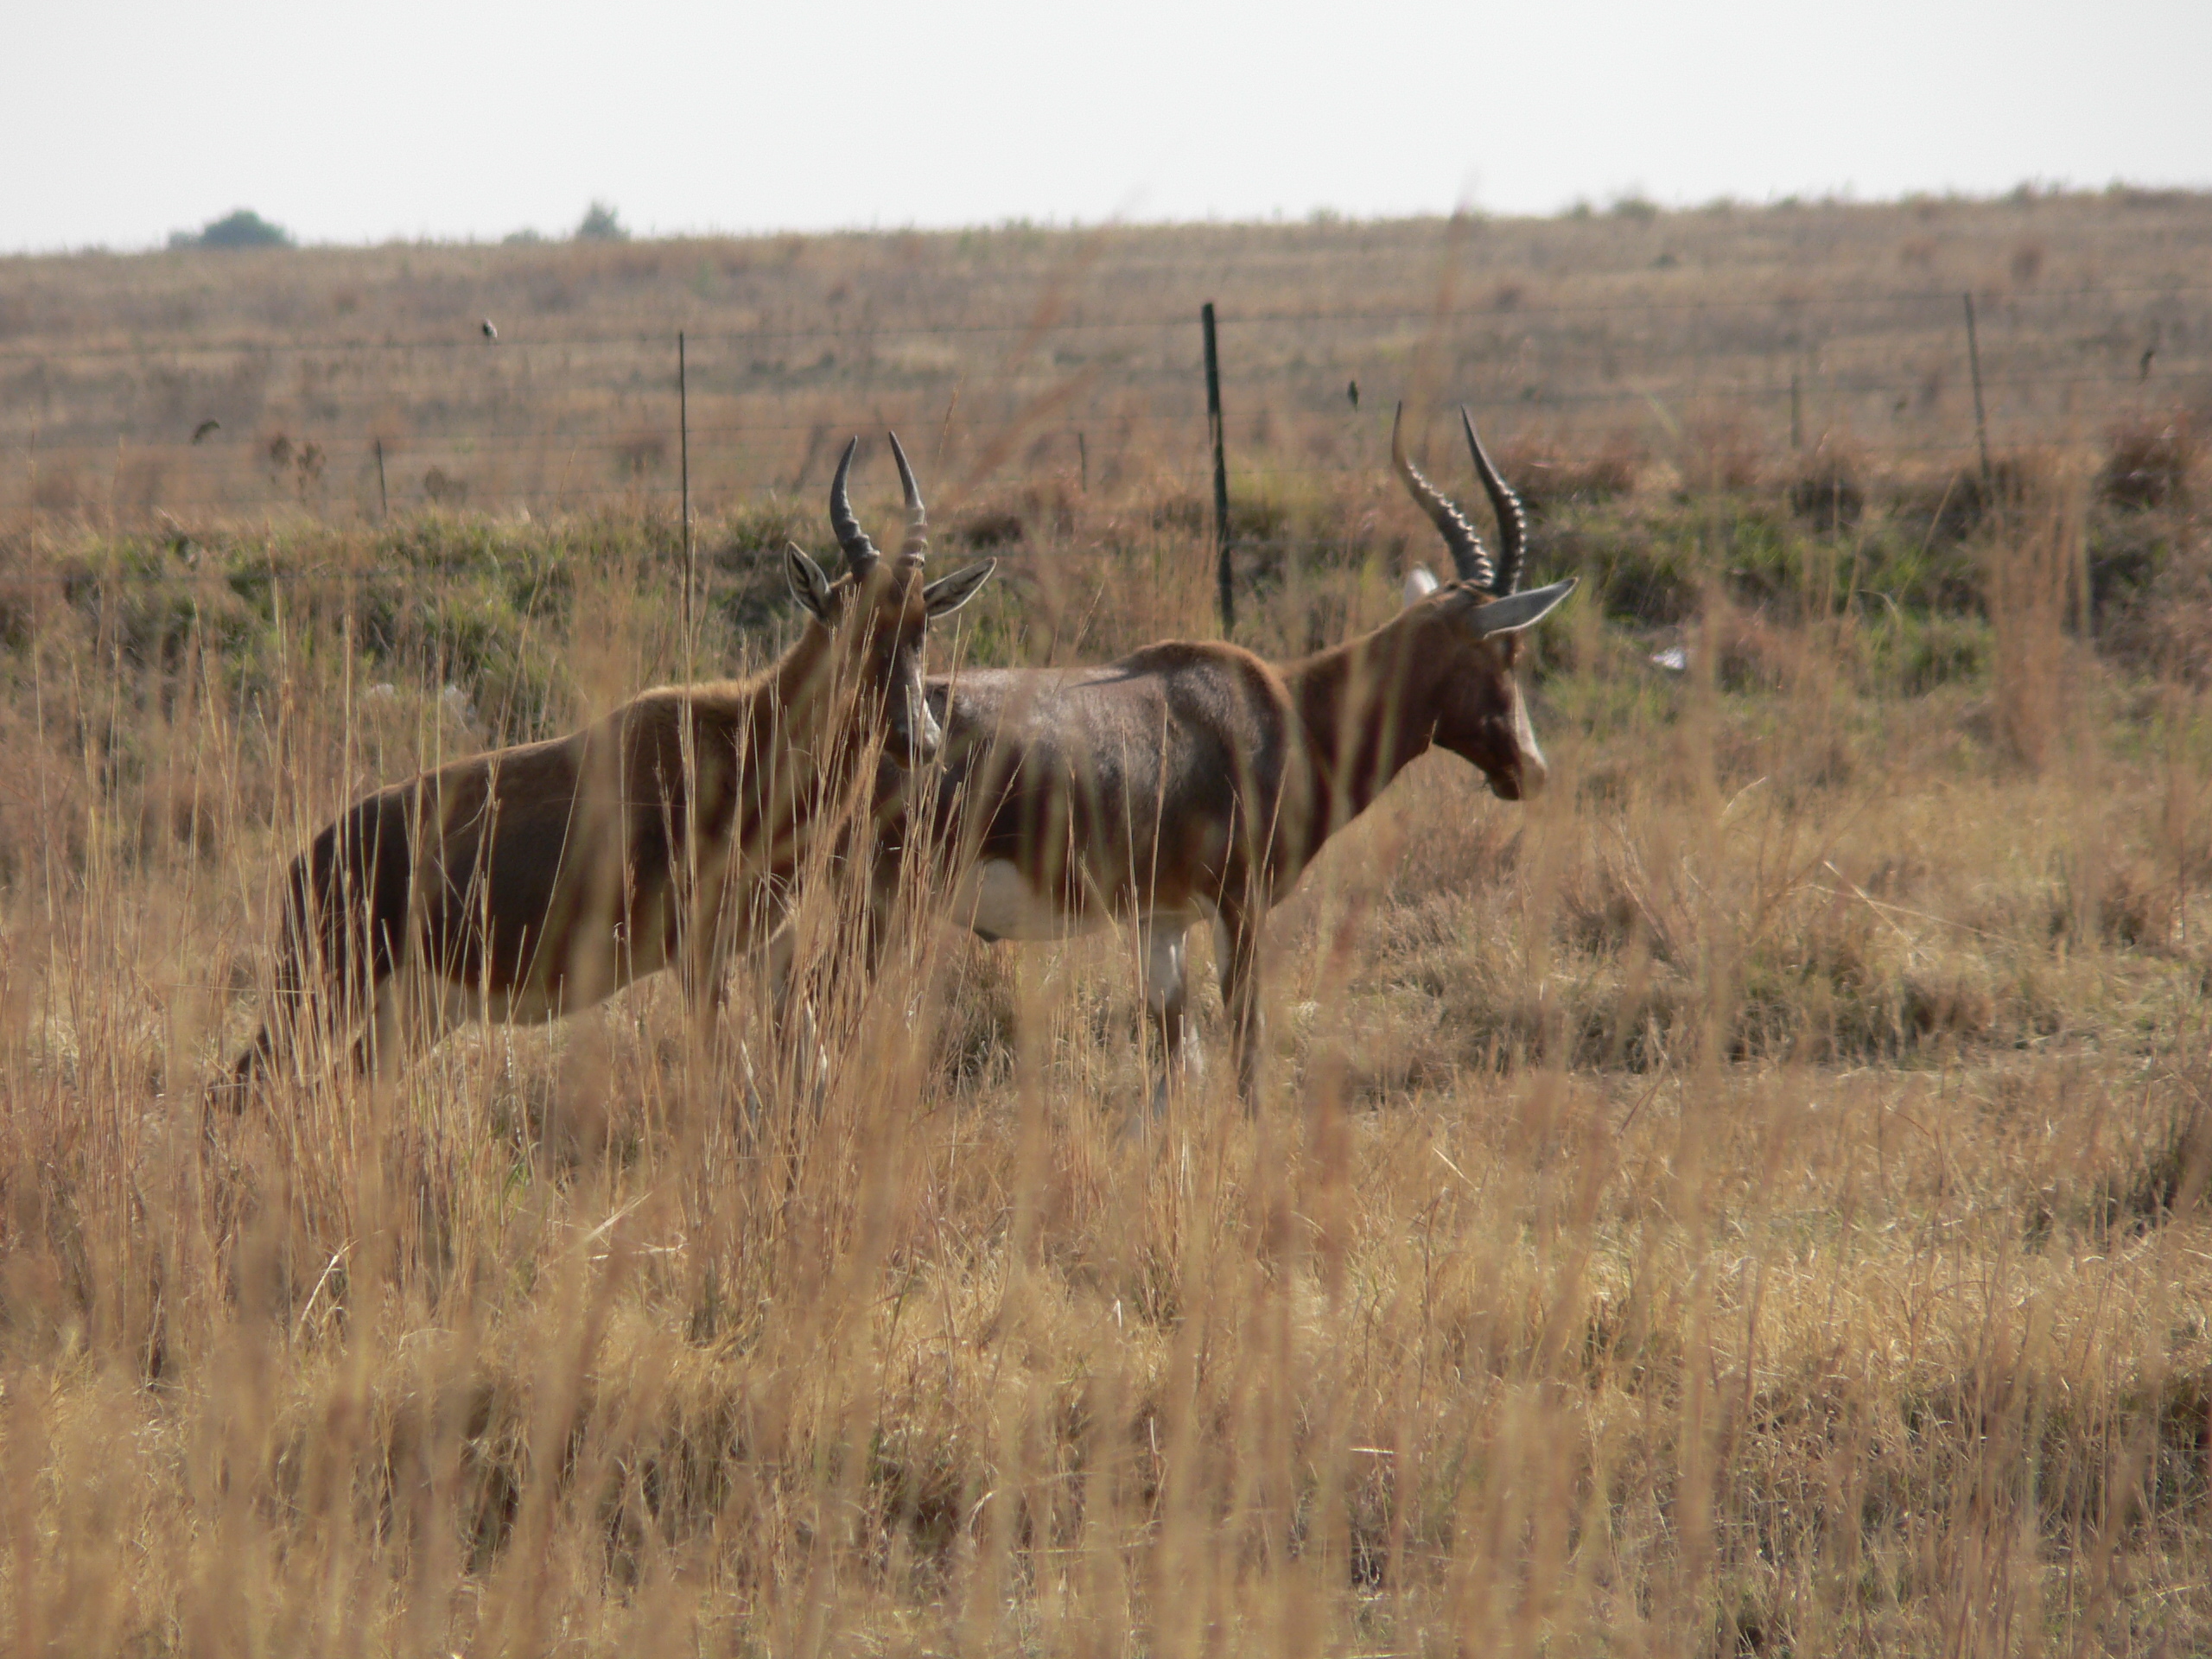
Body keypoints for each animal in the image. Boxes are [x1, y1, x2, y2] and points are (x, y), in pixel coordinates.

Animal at [231, 435, 995, 1096]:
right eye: (851, 624)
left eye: (922, 625)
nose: (922, 739)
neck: (739, 742)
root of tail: (306, 860)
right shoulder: (697, 956)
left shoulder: (764, 948)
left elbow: (808, 1069)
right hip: (321, 993)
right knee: (242, 1089)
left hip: (413, 1010)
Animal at [831, 407, 1574, 1106]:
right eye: (1509, 650)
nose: (1532, 771)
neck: (1286, 709)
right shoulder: (1238, 908)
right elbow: (1245, 1051)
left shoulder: (1161, 922)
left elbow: (1173, 1064)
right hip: (875, 913)